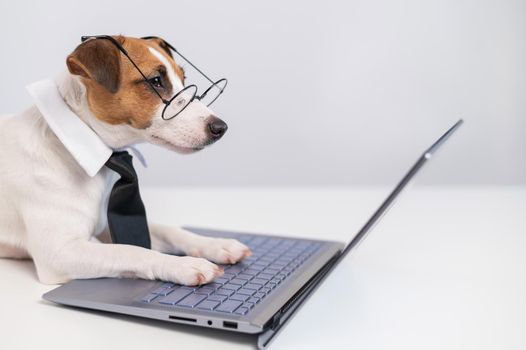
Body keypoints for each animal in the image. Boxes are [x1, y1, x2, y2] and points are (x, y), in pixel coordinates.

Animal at [0, 35, 253, 288]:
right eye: (156, 81)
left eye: (183, 80)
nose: (220, 128)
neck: (68, 146)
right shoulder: (58, 252)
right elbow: (130, 250)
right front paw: (183, 265)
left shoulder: (106, 225)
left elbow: (169, 231)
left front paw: (216, 244)